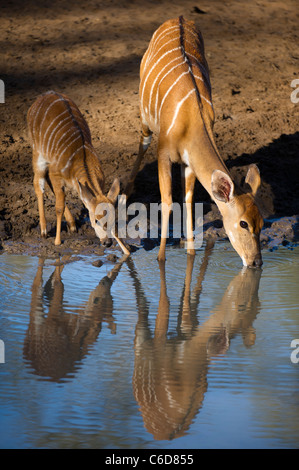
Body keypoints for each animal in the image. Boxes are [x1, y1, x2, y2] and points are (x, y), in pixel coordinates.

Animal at [27, 90, 130, 255]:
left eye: (112, 219)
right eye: (96, 220)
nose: (107, 242)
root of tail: (46, 94)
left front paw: (126, 250)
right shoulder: (57, 175)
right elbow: (58, 207)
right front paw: (57, 241)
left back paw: (72, 224)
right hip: (37, 154)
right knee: (38, 183)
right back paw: (43, 230)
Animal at [127, 17, 264, 268]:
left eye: (260, 222)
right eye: (243, 223)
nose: (256, 262)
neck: (191, 118)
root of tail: (179, 17)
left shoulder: (188, 162)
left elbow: (188, 199)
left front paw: (190, 250)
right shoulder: (163, 154)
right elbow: (167, 201)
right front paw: (161, 257)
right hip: (145, 116)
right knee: (143, 140)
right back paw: (126, 189)